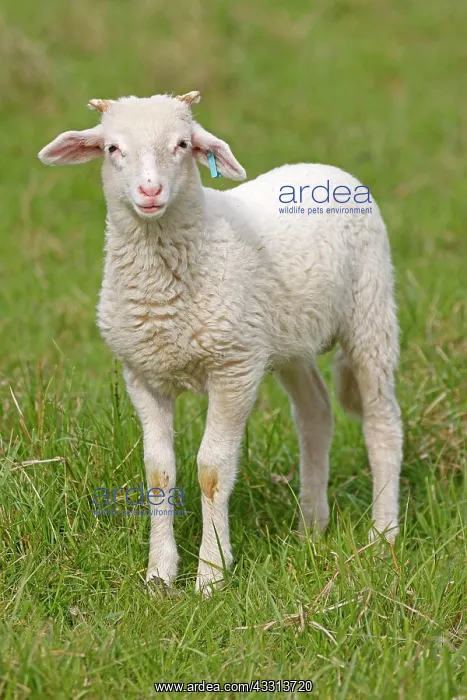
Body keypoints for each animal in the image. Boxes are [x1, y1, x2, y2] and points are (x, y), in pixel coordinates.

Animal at [38, 90, 403, 594]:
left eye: (182, 144)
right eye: (112, 148)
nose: (150, 192)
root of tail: (325, 168)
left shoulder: (235, 368)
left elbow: (212, 469)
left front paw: (211, 575)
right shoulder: (142, 375)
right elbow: (158, 471)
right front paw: (159, 574)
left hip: (369, 310)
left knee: (382, 422)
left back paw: (383, 534)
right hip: (286, 338)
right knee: (315, 413)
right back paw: (311, 524)